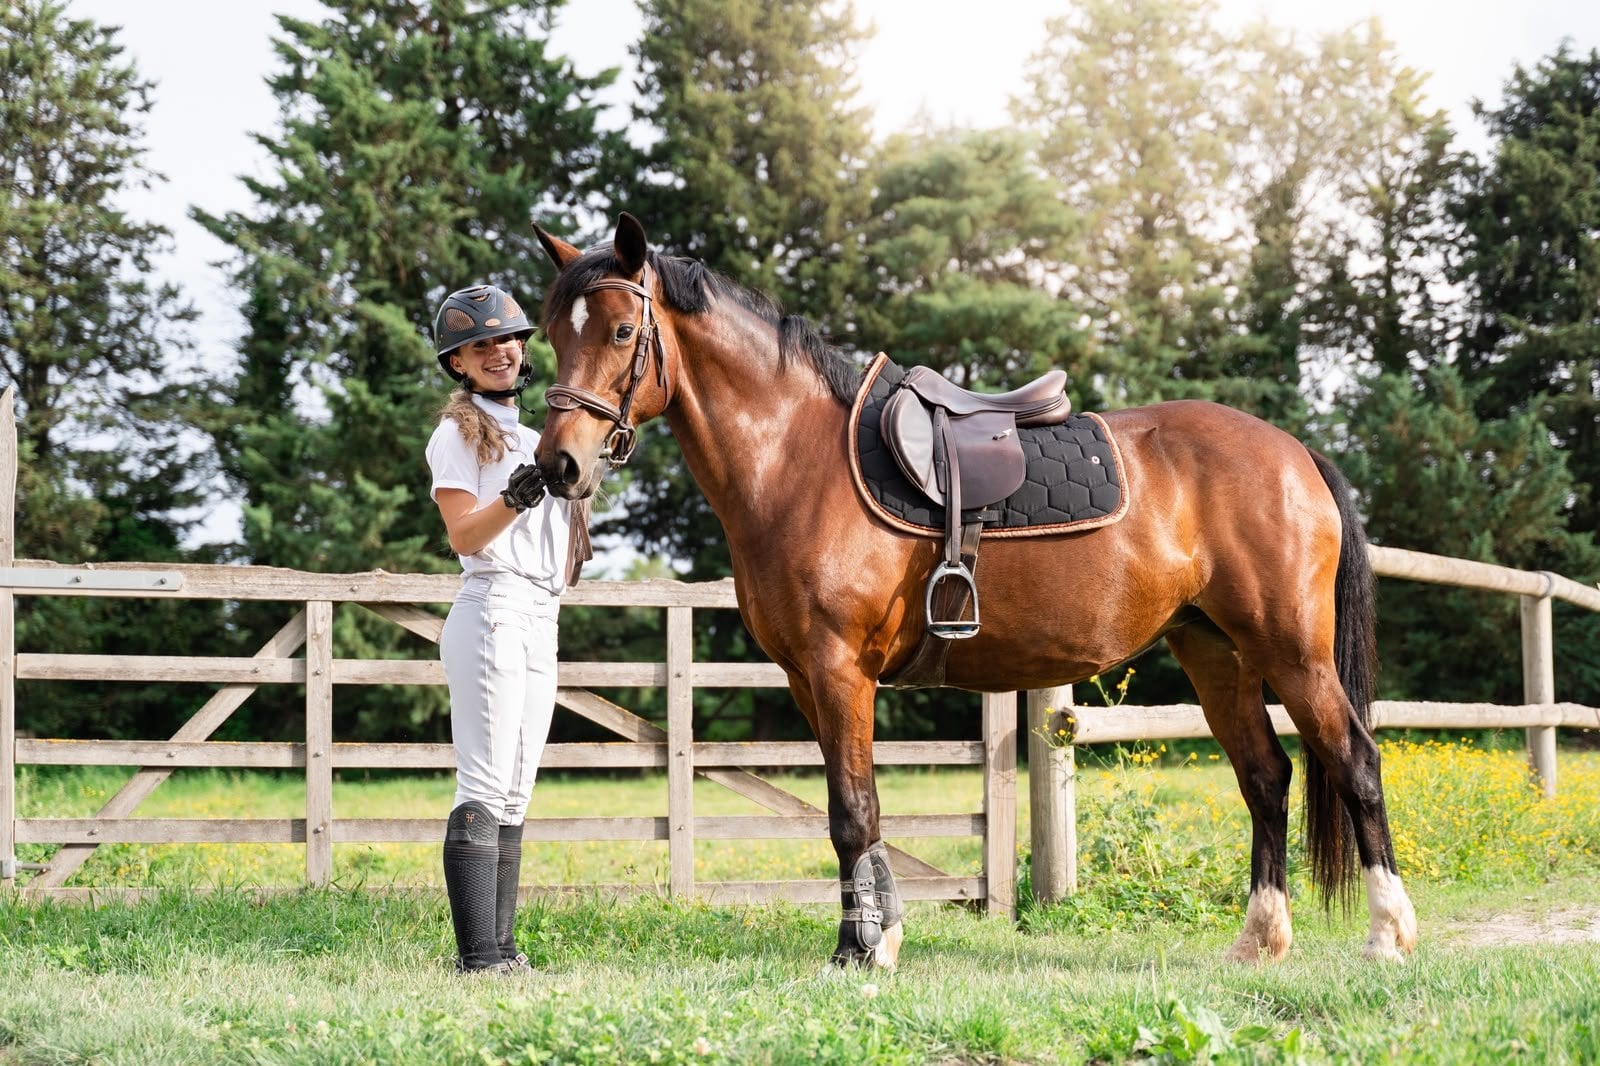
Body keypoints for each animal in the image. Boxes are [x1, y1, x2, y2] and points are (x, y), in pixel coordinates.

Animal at [530, 212, 1419, 970]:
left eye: (620, 331)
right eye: (549, 333)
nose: (560, 465)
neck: (795, 461)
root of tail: (1295, 452)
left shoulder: (838, 668)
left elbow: (853, 814)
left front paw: (864, 953)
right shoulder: (808, 678)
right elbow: (853, 812)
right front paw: (868, 941)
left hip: (1293, 650)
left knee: (1355, 762)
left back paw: (1387, 936)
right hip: (1216, 651)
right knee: (1266, 779)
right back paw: (1259, 941)